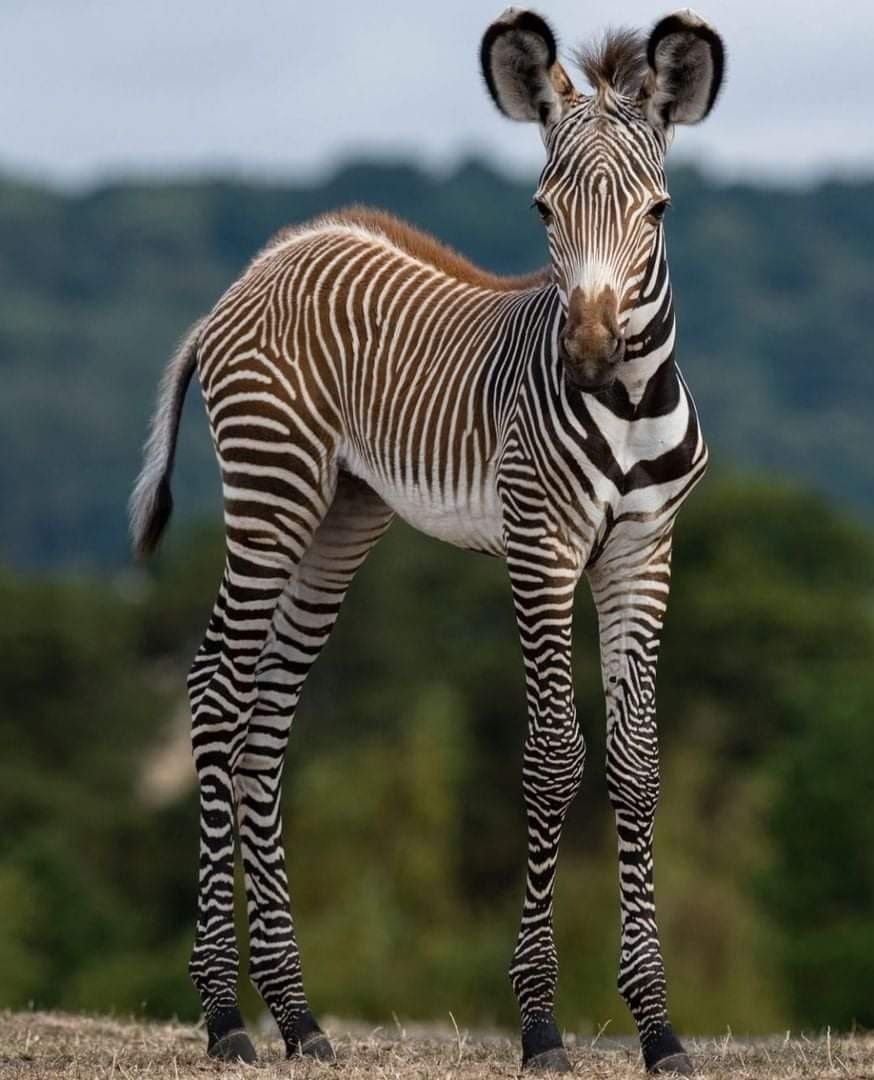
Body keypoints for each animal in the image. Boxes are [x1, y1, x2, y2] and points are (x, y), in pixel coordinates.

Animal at [130, 7, 724, 1075]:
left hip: (339, 520)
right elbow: (552, 758)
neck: (622, 405)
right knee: (214, 693)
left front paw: (659, 1028)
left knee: (266, 722)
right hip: (271, 494)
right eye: (542, 212)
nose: (588, 354)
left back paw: (298, 1017)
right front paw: (539, 1024)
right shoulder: (541, 546)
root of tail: (255, 273)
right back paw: (226, 1017)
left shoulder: (643, 552)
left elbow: (637, 764)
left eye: (657, 213)